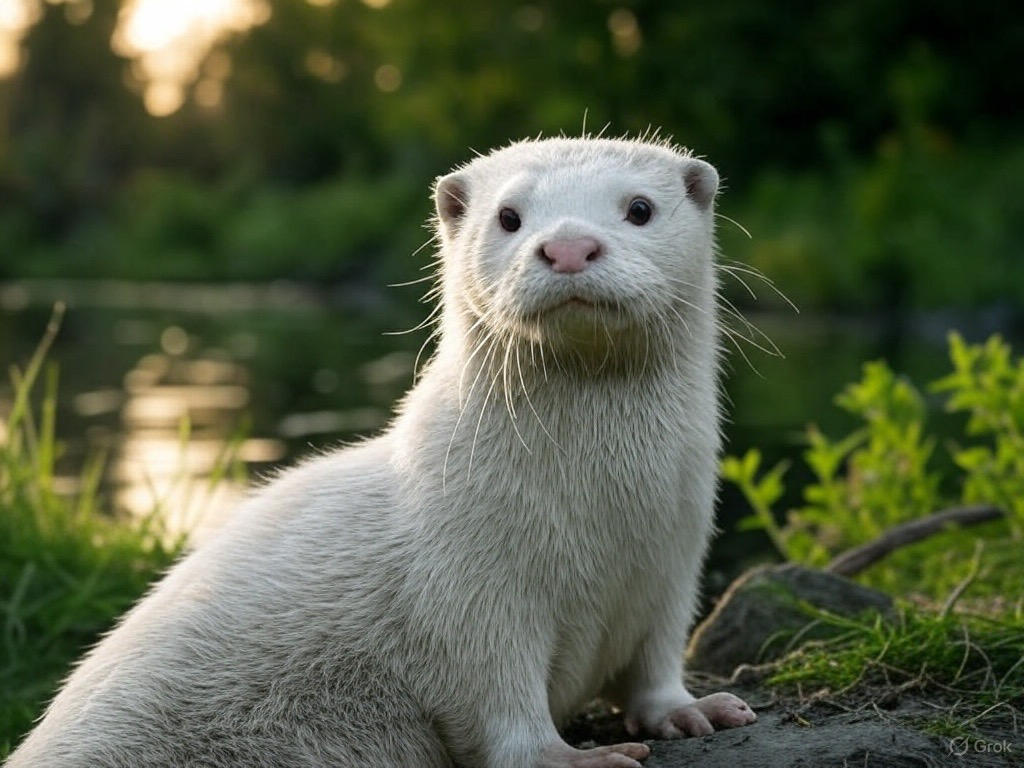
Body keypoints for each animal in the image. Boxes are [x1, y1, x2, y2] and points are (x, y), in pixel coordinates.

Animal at [7, 136, 756, 768]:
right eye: (509, 216)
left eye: (640, 207)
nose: (568, 245)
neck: (603, 521)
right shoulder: (465, 583)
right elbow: (496, 701)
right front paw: (568, 757)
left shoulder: (676, 557)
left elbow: (656, 662)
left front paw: (691, 711)